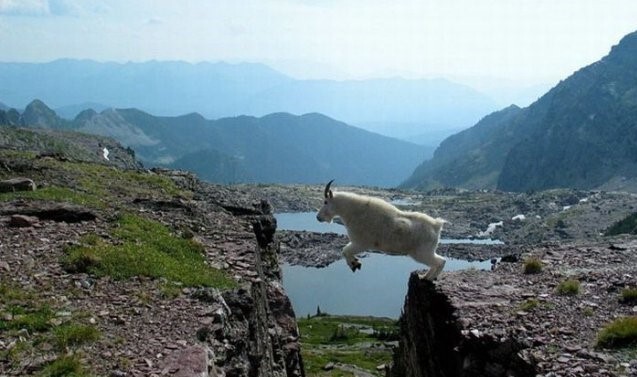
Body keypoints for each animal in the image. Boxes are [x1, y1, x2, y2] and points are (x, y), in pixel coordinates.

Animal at [314, 179, 444, 280]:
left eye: (325, 201)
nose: (318, 217)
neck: (352, 211)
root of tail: (436, 226)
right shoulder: (358, 243)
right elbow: (345, 251)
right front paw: (356, 262)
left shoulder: (360, 243)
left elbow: (345, 250)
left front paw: (354, 264)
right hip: (426, 251)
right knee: (438, 262)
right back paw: (425, 276)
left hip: (422, 252)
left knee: (440, 261)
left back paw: (428, 278)